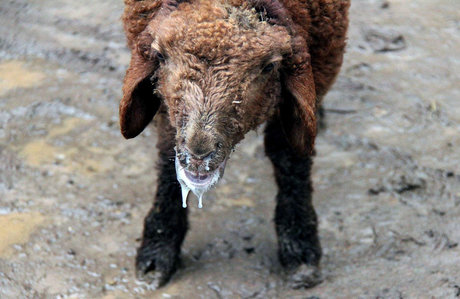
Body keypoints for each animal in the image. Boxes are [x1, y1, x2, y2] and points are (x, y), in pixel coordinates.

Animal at [118, 0, 348, 290]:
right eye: (160, 56)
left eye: (269, 67)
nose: (198, 154)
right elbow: (166, 148)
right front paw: (158, 245)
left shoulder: (324, 58)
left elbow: (289, 154)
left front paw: (300, 243)